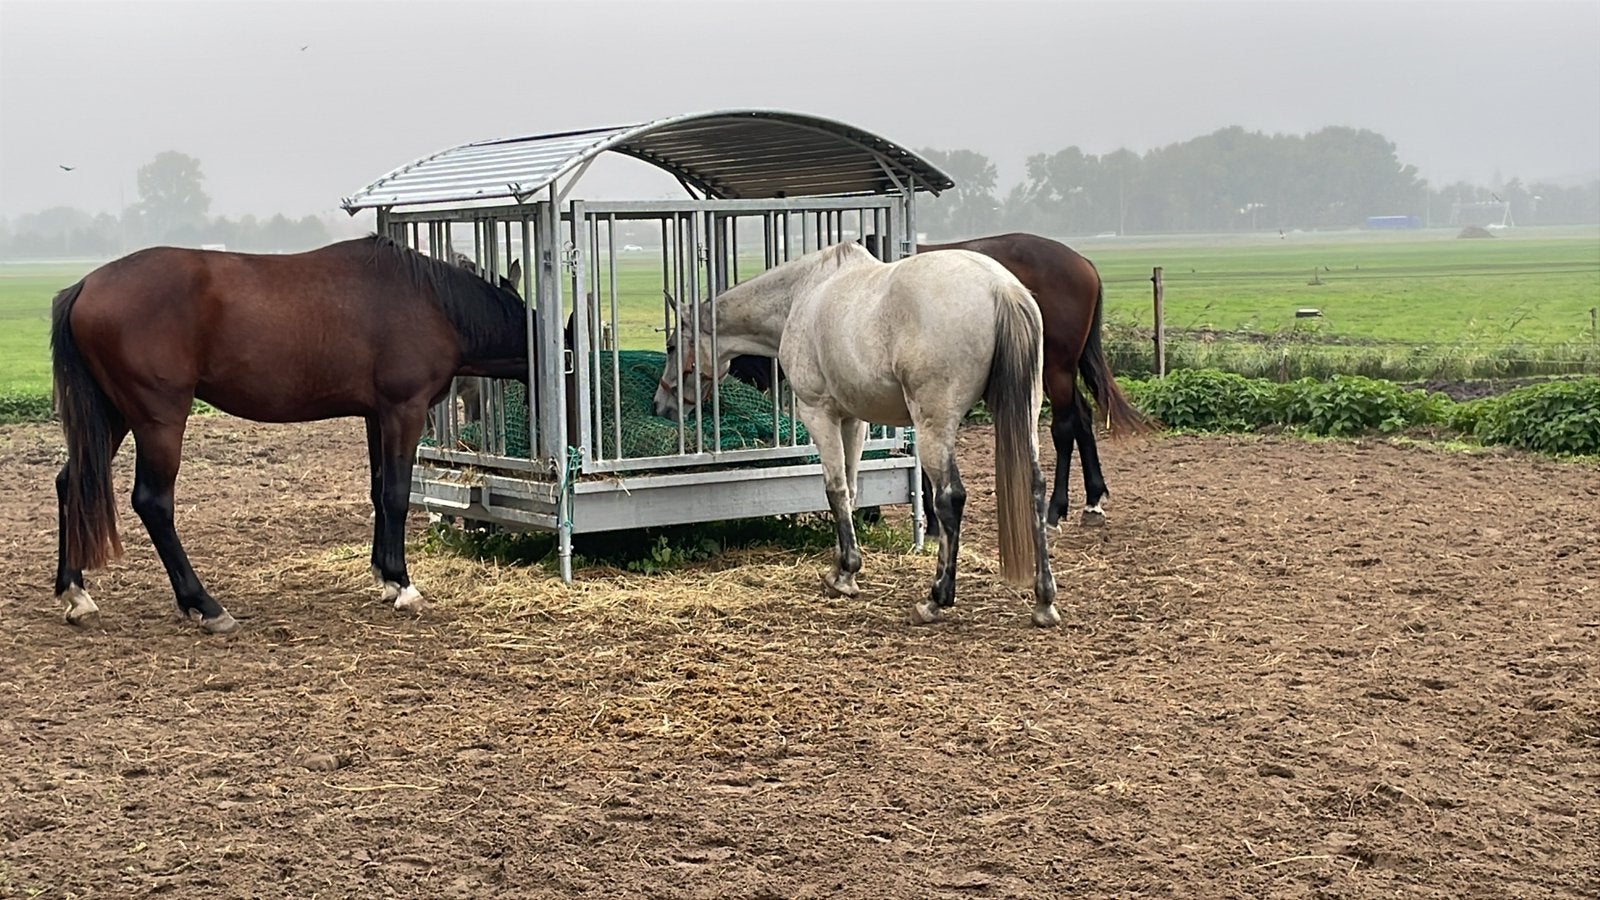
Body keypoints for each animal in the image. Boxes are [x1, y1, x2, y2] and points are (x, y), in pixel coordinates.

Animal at [51, 234, 530, 634]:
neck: (433, 303)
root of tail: (84, 286)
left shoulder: (376, 416)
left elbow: (378, 492)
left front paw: (384, 577)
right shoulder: (405, 410)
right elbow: (396, 494)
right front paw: (404, 585)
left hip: (112, 415)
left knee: (70, 482)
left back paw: (76, 594)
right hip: (159, 419)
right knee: (153, 502)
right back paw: (205, 605)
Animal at [652, 242, 1059, 627]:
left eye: (671, 346)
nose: (661, 406)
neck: (801, 294)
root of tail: (1001, 288)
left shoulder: (818, 413)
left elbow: (833, 489)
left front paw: (845, 572)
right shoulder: (853, 419)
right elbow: (850, 490)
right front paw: (841, 570)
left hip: (935, 425)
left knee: (950, 498)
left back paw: (934, 600)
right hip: (1026, 411)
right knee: (1035, 488)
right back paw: (1044, 602)